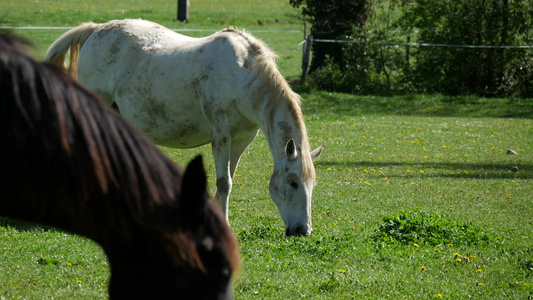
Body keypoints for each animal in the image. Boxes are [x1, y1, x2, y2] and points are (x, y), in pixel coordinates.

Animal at [45, 19, 322, 238]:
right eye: (293, 182)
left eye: (312, 184)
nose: (302, 231)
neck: (243, 75)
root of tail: (95, 29)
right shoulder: (221, 135)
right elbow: (224, 182)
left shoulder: (242, 139)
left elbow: (229, 178)